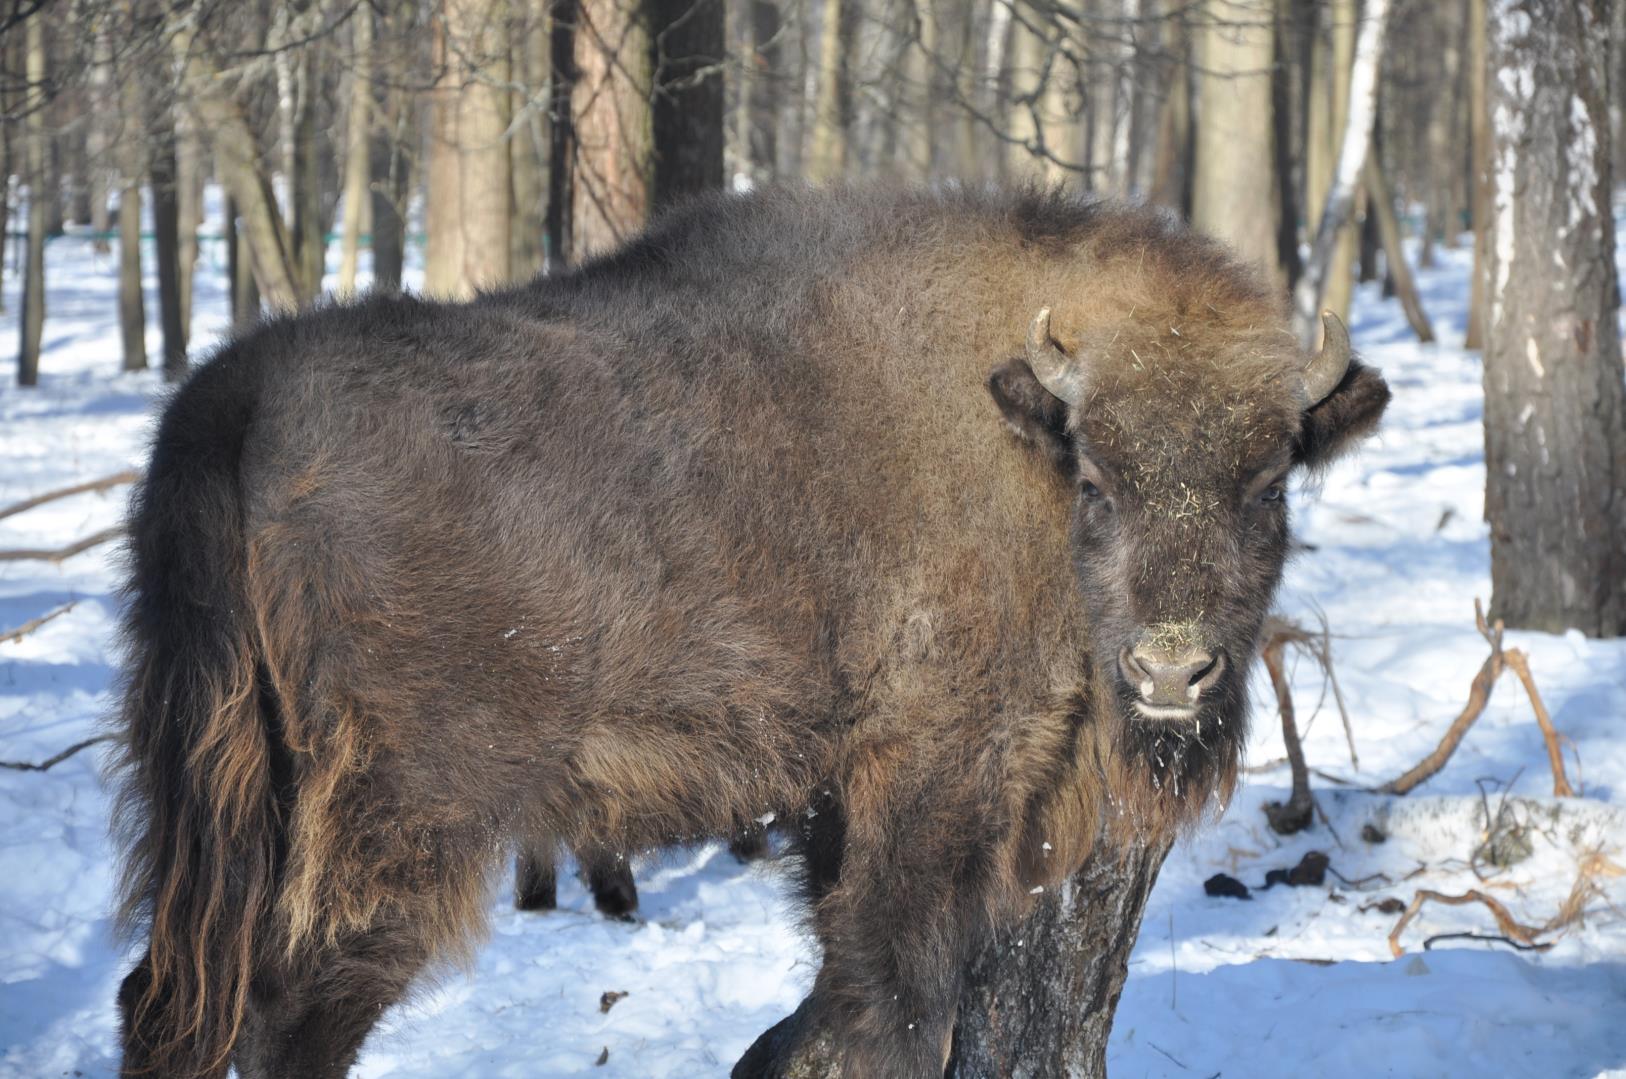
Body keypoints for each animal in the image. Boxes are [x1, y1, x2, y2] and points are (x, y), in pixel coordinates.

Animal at [111, 181, 1385, 1072]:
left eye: (1268, 482)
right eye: (1100, 479)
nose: (1172, 668)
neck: (1018, 423)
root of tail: (236, 389)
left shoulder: (841, 800)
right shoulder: (937, 771)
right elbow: (892, 1001)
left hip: (232, 794)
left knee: (168, 1001)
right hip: (401, 819)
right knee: (288, 1013)